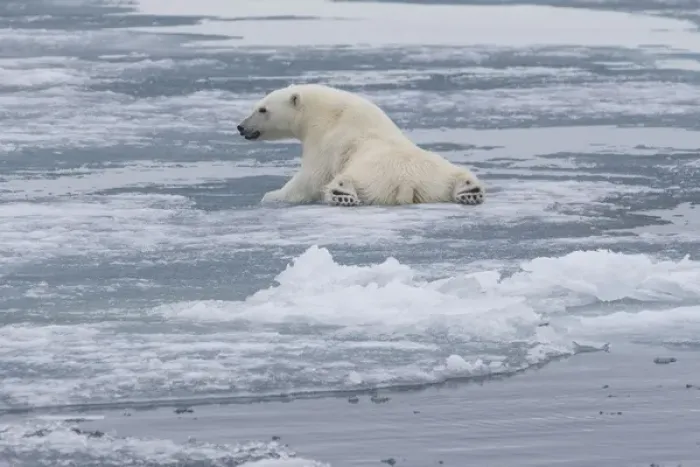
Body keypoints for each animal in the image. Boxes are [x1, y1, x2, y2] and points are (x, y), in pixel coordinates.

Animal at [236, 83, 485, 207]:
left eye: (262, 109)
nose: (241, 127)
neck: (327, 114)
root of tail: (407, 183)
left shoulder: (327, 142)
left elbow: (310, 178)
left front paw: (272, 195)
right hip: (436, 173)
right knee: (458, 174)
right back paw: (470, 191)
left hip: (370, 175)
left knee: (345, 180)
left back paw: (342, 195)